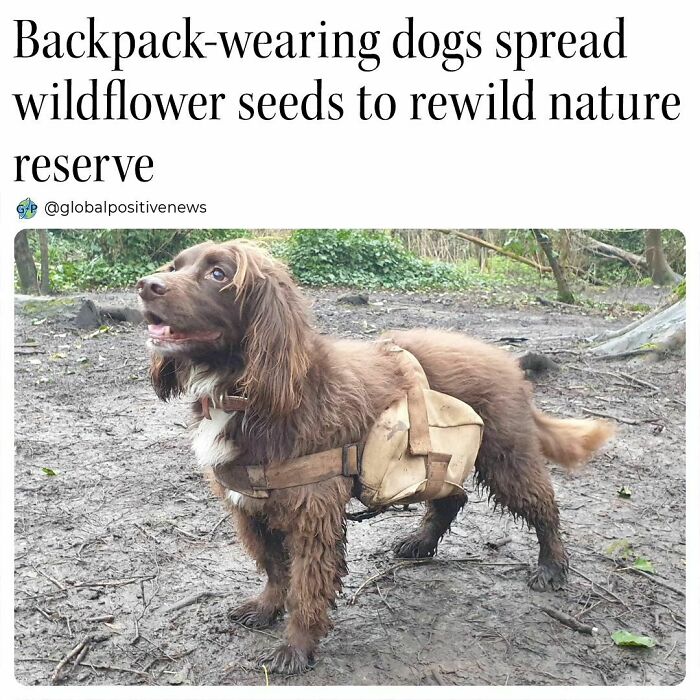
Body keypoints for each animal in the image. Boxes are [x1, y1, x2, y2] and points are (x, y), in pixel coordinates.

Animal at [138, 239, 612, 672]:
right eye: (175, 265)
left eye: (218, 273)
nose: (146, 285)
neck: (248, 394)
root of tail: (507, 361)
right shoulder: (249, 504)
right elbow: (275, 569)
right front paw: (266, 607)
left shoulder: (312, 510)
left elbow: (306, 584)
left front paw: (296, 647)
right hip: (444, 456)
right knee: (451, 496)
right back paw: (420, 542)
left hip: (506, 456)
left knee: (544, 507)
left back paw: (551, 567)